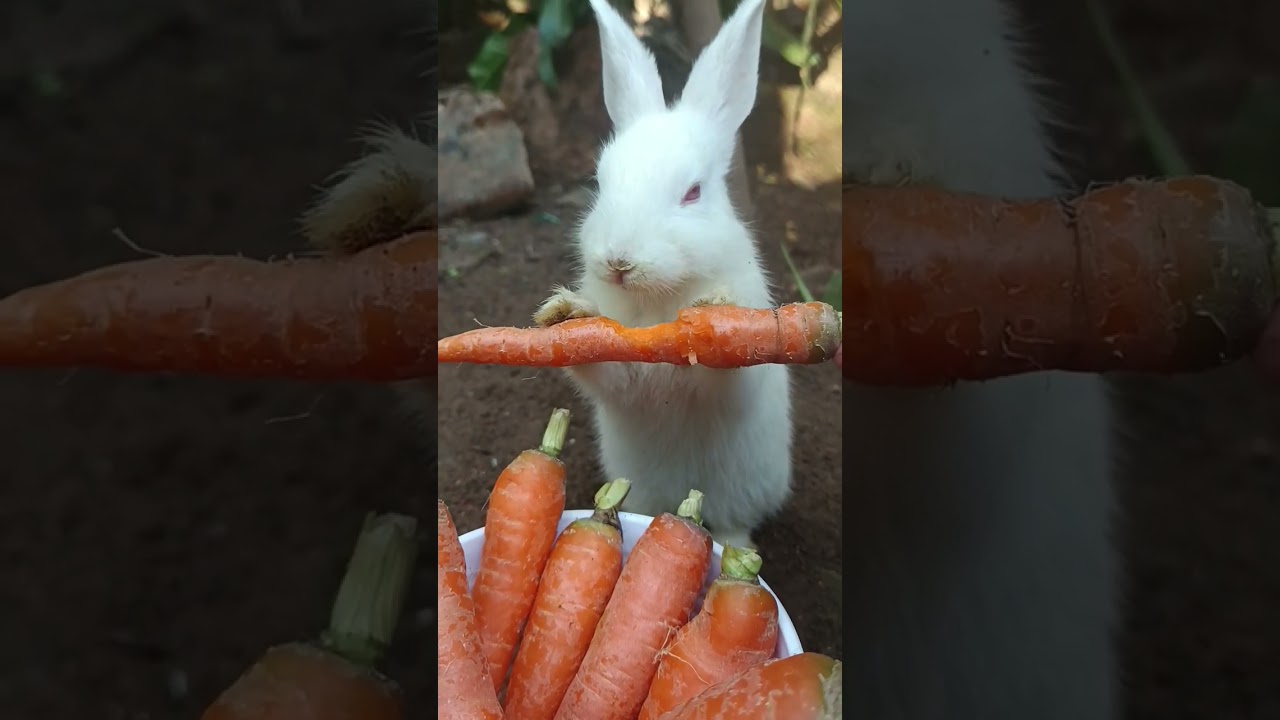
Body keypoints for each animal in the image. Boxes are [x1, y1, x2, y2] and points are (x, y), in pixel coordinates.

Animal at [532, 0, 788, 551]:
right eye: (600, 181)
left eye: (693, 192)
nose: (619, 260)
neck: (658, 295)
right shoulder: (625, 376)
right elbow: (609, 370)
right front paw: (568, 315)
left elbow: (727, 374)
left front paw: (716, 317)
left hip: (741, 494)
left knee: (734, 532)